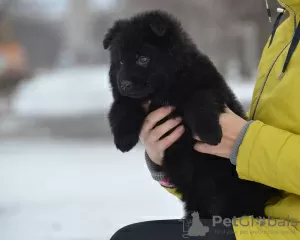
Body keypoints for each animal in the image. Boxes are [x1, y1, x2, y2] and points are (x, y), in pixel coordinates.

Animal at [102, 9, 278, 219]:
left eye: (142, 59)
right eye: (120, 62)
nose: (124, 84)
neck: (164, 92)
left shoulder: (211, 88)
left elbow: (199, 99)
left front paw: (210, 133)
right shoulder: (127, 99)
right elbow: (120, 108)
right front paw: (124, 139)